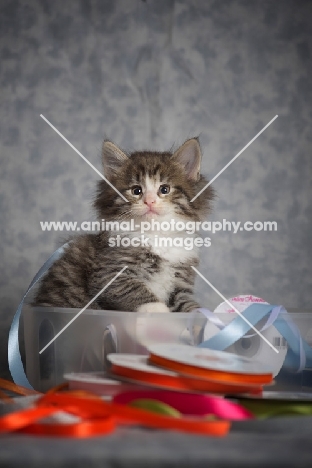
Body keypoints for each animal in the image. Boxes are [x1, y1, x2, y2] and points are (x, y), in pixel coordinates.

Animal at [34, 139, 214, 314]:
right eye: (136, 190)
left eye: (164, 189)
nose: (149, 201)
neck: (156, 234)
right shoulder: (109, 273)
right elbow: (134, 290)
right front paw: (159, 312)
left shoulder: (181, 283)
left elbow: (188, 304)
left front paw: (205, 317)